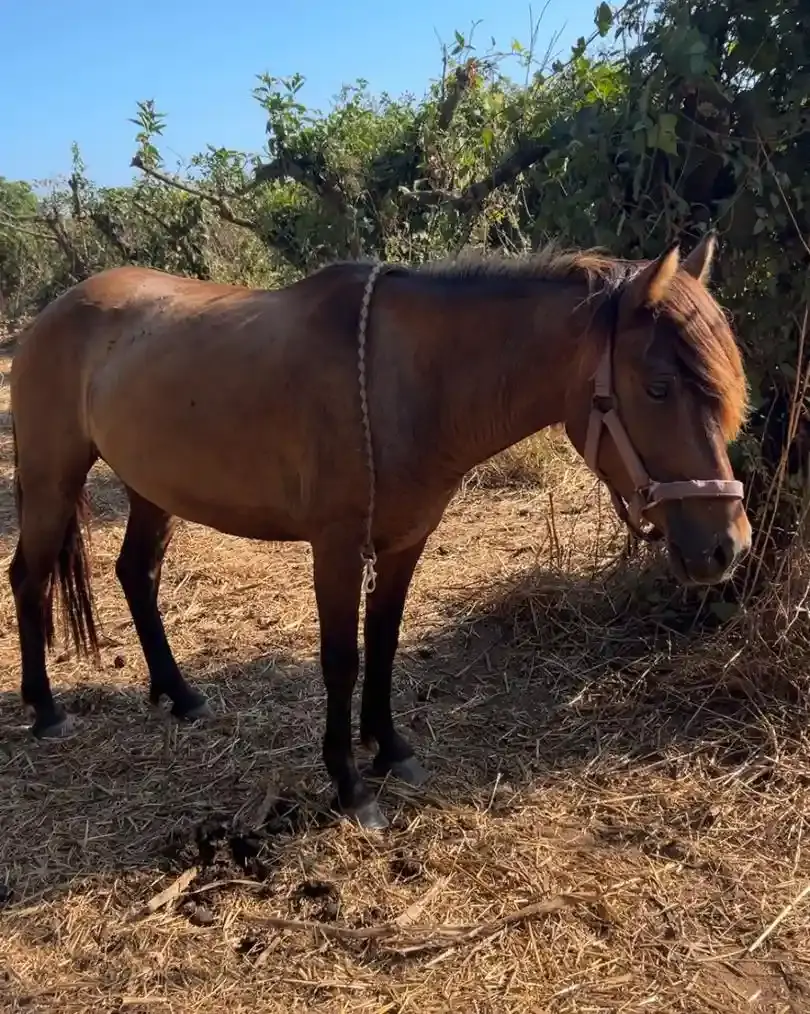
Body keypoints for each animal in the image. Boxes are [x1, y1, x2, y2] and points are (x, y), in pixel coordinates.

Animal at [7, 233, 751, 829]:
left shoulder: (403, 541)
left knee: (137, 574)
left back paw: (180, 695)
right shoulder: (336, 547)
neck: (406, 381)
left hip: (151, 489)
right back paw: (45, 710)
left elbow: (385, 643)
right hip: (51, 480)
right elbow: (342, 658)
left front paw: (390, 749)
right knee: (28, 577)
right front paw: (349, 783)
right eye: (657, 388)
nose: (727, 546)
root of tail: (54, 312)